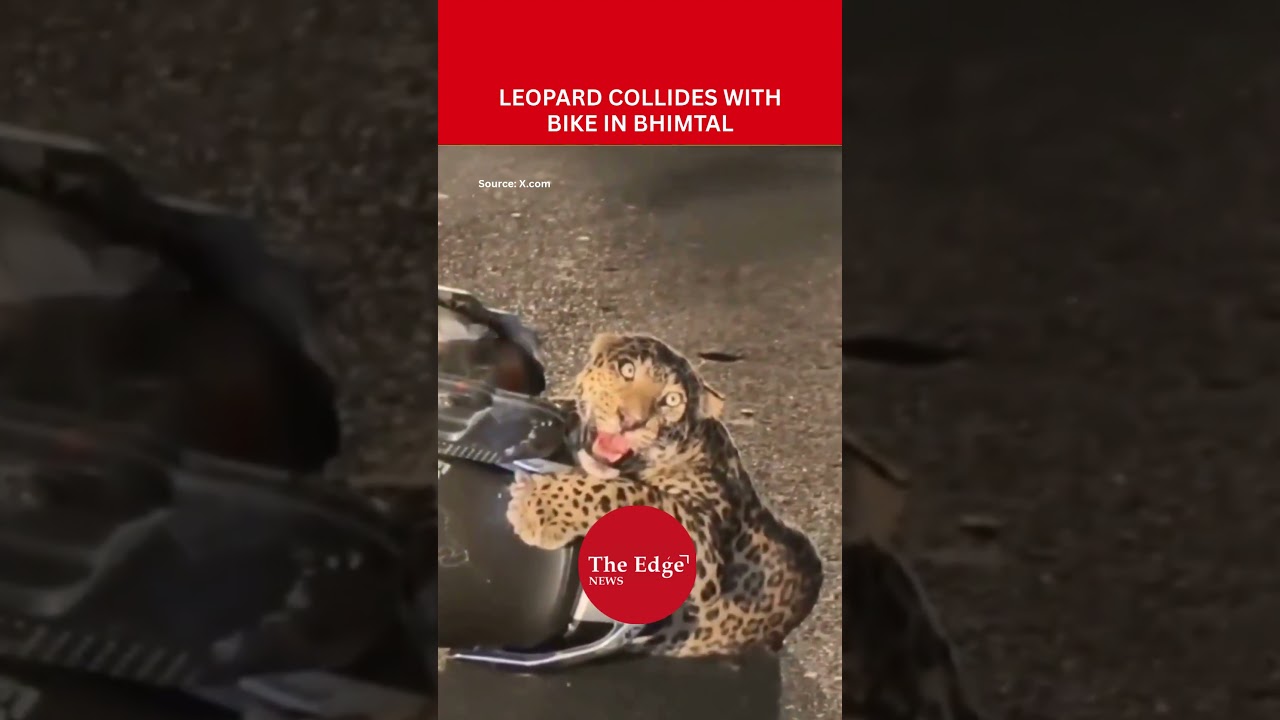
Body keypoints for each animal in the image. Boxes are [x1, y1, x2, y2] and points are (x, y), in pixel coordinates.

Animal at [505, 332, 824, 657]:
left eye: (672, 400)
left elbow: (631, 493)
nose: (630, 421)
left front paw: (538, 506)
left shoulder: (703, 547)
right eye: (627, 369)